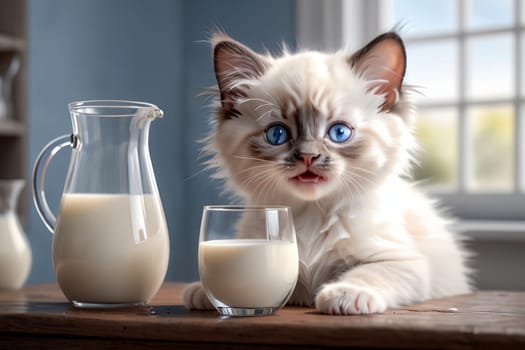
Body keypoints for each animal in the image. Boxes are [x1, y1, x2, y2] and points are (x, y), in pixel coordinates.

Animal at [184, 31, 470, 314]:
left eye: (339, 133)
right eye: (277, 135)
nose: (308, 156)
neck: (311, 213)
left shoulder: (402, 261)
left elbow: (368, 273)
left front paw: (344, 295)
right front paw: (204, 293)